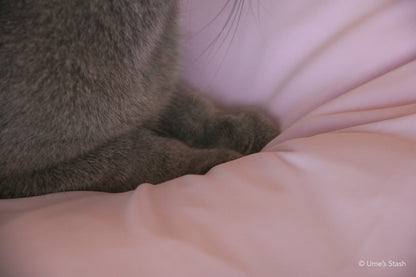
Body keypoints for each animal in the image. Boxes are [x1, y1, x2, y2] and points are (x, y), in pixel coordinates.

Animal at [0, 0, 280, 198]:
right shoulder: (28, 173)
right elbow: (135, 157)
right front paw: (215, 162)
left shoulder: (157, 85)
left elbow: (187, 108)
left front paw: (244, 127)